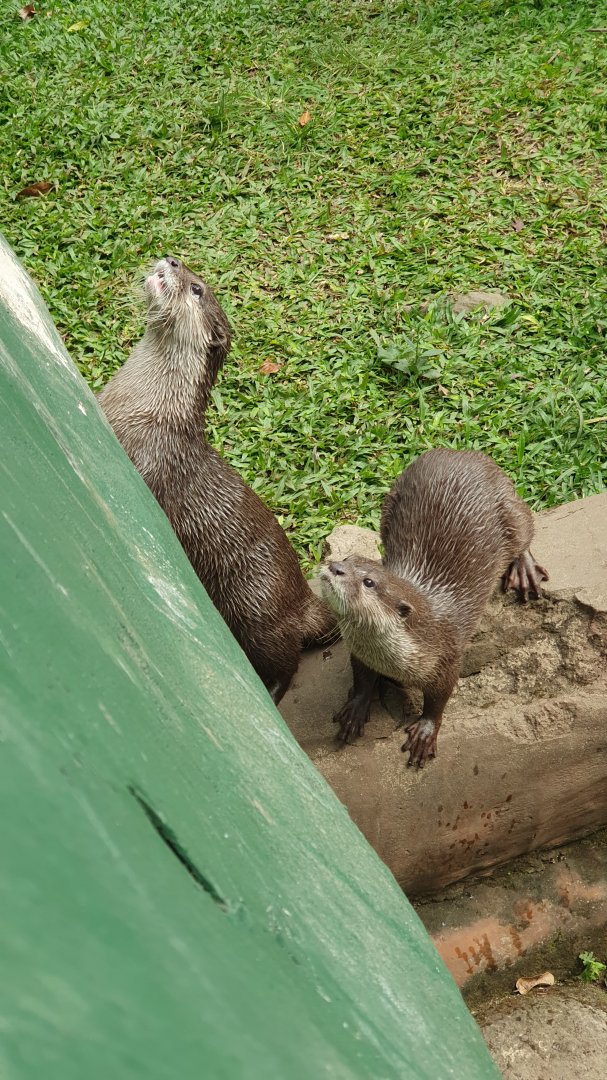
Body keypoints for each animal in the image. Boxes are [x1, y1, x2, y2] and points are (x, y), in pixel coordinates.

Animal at [98, 255, 335, 702]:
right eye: (190, 275)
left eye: (196, 289)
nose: (172, 260)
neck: (144, 407)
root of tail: (302, 600)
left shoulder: (150, 453)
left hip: (257, 607)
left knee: (286, 660)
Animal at [320, 449, 548, 767]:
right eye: (346, 558)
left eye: (368, 582)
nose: (334, 567)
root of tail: (469, 454)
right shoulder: (362, 654)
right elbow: (363, 678)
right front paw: (355, 709)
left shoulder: (446, 658)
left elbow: (439, 699)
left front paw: (426, 731)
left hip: (509, 507)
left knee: (525, 529)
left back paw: (524, 569)